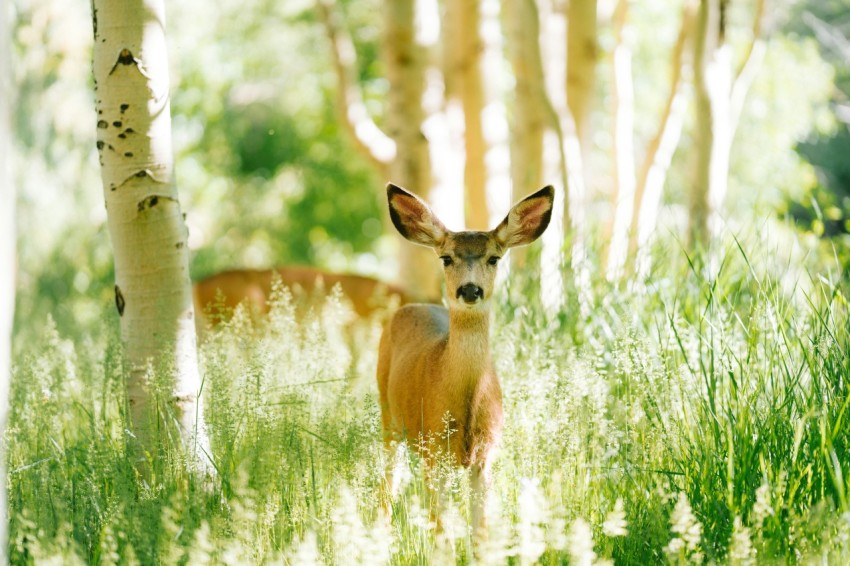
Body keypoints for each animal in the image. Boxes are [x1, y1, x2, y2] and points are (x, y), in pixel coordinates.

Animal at [377, 182, 554, 535]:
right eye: (446, 257)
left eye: (494, 258)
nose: (470, 290)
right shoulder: (436, 452)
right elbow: (442, 531)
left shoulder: (486, 456)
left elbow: (481, 531)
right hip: (387, 414)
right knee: (387, 485)